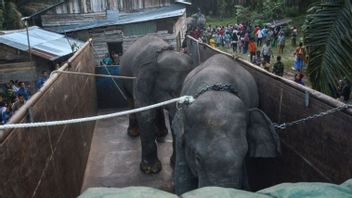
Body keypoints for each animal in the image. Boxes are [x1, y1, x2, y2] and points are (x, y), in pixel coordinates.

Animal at [119, 35, 194, 173]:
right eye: (172, 92)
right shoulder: (140, 79)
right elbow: (146, 113)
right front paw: (151, 170)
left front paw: (173, 164)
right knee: (131, 100)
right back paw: (134, 133)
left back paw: (161, 133)